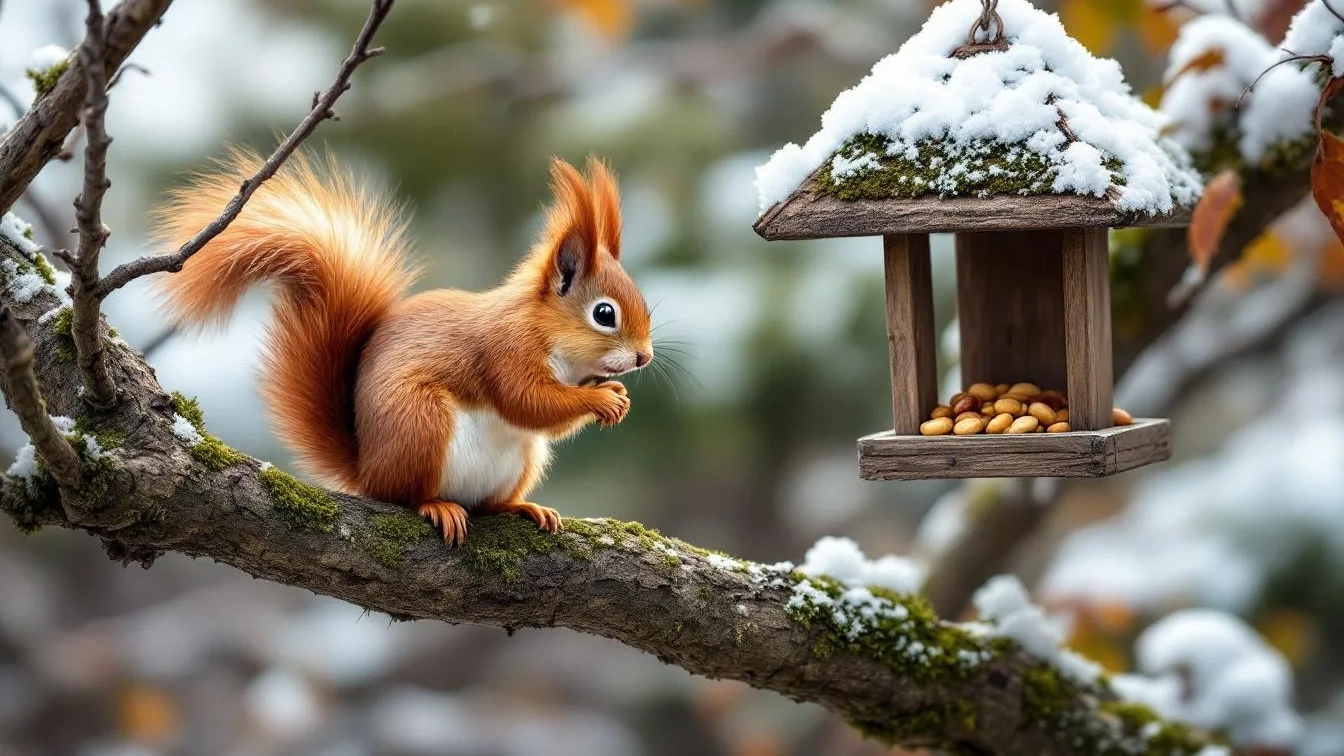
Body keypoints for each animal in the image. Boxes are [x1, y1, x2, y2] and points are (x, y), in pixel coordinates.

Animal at [154, 150, 652, 546]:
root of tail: (369, 471)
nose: (644, 356)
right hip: (420, 422)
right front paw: (602, 399)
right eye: (604, 314)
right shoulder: (505, 350)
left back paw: (523, 508)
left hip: (521, 460)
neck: (550, 339)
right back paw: (437, 506)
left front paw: (616, 394)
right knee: (407, 496)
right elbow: (528, 402)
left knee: (488, 503)